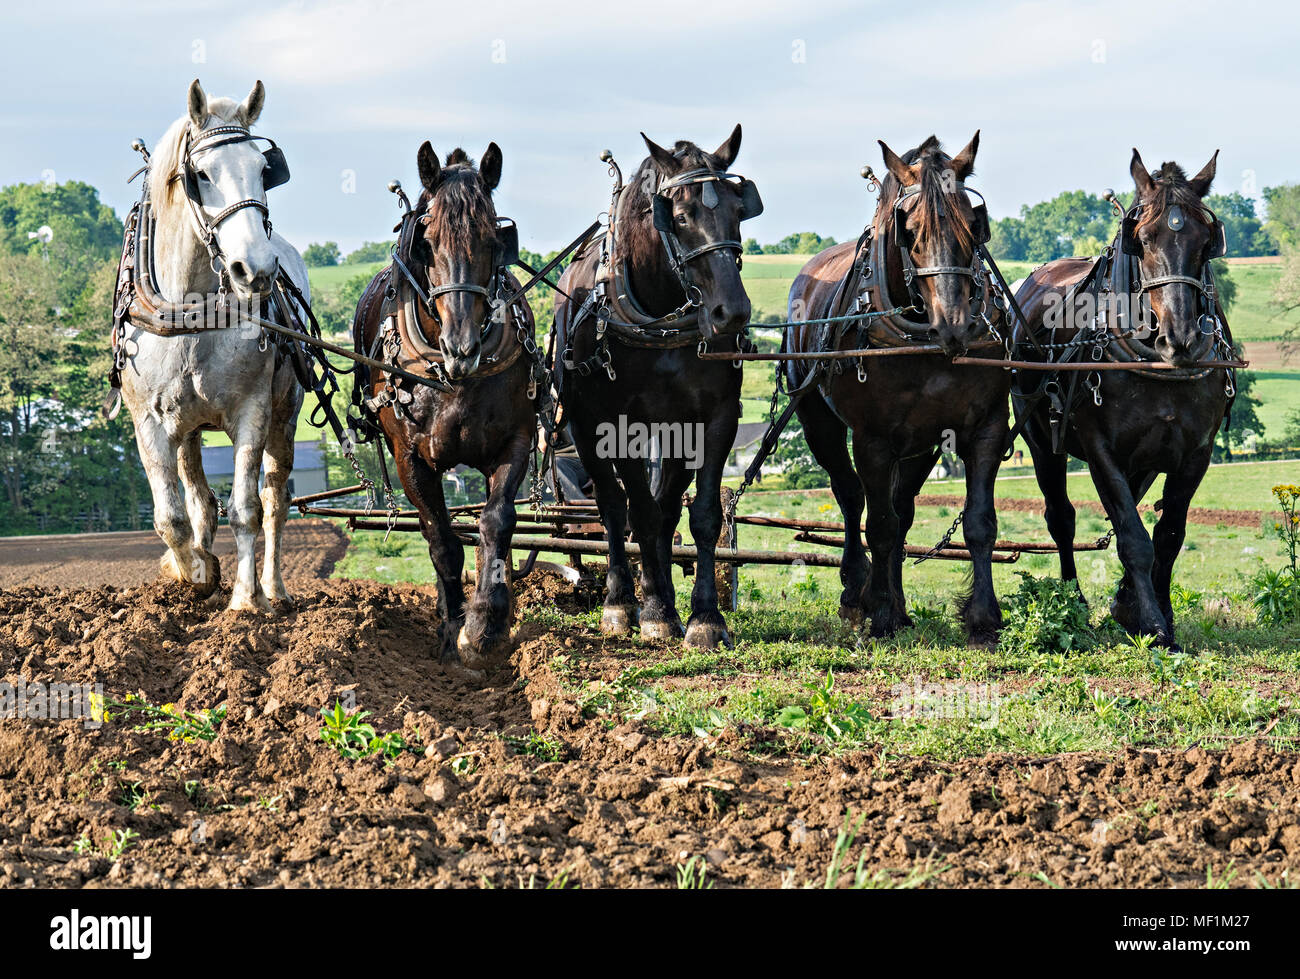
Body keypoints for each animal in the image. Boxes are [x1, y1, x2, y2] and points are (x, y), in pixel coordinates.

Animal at [115, 80, 308, 612]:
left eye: (264, 169)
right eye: (200, 175)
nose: (255, 270)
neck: (191, 315)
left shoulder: (252, 411)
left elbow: (246, 509)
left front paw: (244, 599)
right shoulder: (149, 422)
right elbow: (172, 517)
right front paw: (195, 572)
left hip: (284, 417)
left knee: (275, 502)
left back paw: (274, 589)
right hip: (187, 429)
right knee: (200, 501)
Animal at [352, 142, 540, 677]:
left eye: (495, 240)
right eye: (427, 242)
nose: (463, 348)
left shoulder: (516, 439)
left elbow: (496, 522)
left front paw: (484, 627)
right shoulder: (410, 456)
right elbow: (441, 540)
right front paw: (452, 632)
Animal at [552, 126, 760, 649]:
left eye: (738, 209)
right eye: (680, 217)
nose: (732, 314)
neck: (660, 316)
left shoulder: (714, 418)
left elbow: (700, 515)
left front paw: (705, 617)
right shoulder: (620, 424)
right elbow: (638, 514)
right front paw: (654, 614)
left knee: (666, 508)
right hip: (585, 428)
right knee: (613, 507)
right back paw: (625, 601)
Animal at [784, 134, 1009, 644]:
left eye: (974, 225)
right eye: (911, 231)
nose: (955, 325)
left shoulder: (985, 428)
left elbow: (978, 523)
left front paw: (983, 618)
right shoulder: (873, 439)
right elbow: (880, 524)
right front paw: (881, 611)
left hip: (920, 444)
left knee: (903, 509)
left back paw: (899, 604)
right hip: (818, 421)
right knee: (851, 498)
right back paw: (858, 592)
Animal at [1012, 150, 1233, 648]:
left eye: (1205, 241)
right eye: (1143, 240)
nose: (1181, 338)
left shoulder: (1197, 451)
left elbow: (1168, 534)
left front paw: (1146, 609)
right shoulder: (1101, 450)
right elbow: (1133, 535)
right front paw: (1151, 624)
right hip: (1041, 440)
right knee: (1062, 518)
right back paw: (1073, 600)